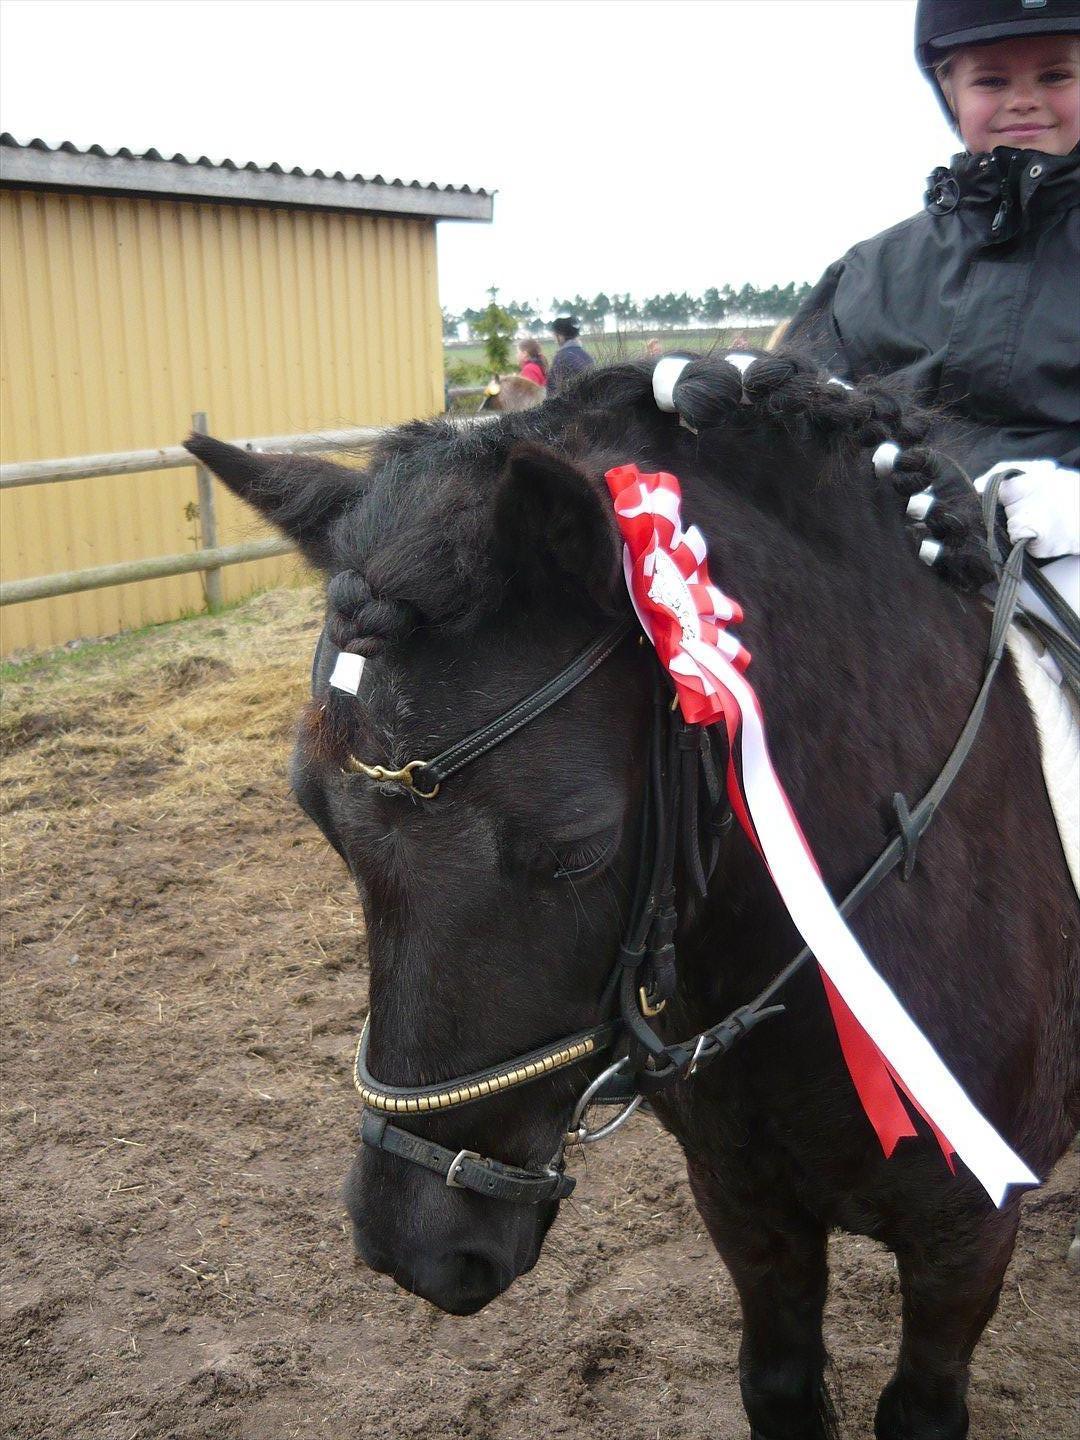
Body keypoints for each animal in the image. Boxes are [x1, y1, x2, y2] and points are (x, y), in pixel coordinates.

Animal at [190, 357, 1077, 1440]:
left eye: (578, 852)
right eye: (318, 817)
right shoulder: (744, 1202)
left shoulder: (968, 1240)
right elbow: (779, 1382)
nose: (418, 1248)